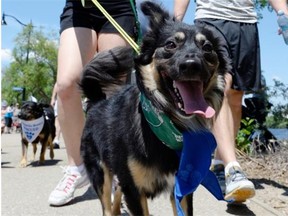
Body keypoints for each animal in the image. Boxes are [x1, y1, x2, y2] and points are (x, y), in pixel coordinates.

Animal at [80, 1, 231, 214]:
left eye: (207, 47)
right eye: (171, 44)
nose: (191, 64)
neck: (169, 126)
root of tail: (96, 102)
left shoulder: (181, 187)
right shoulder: (134, 189)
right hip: (100, 171)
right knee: (107, 205)